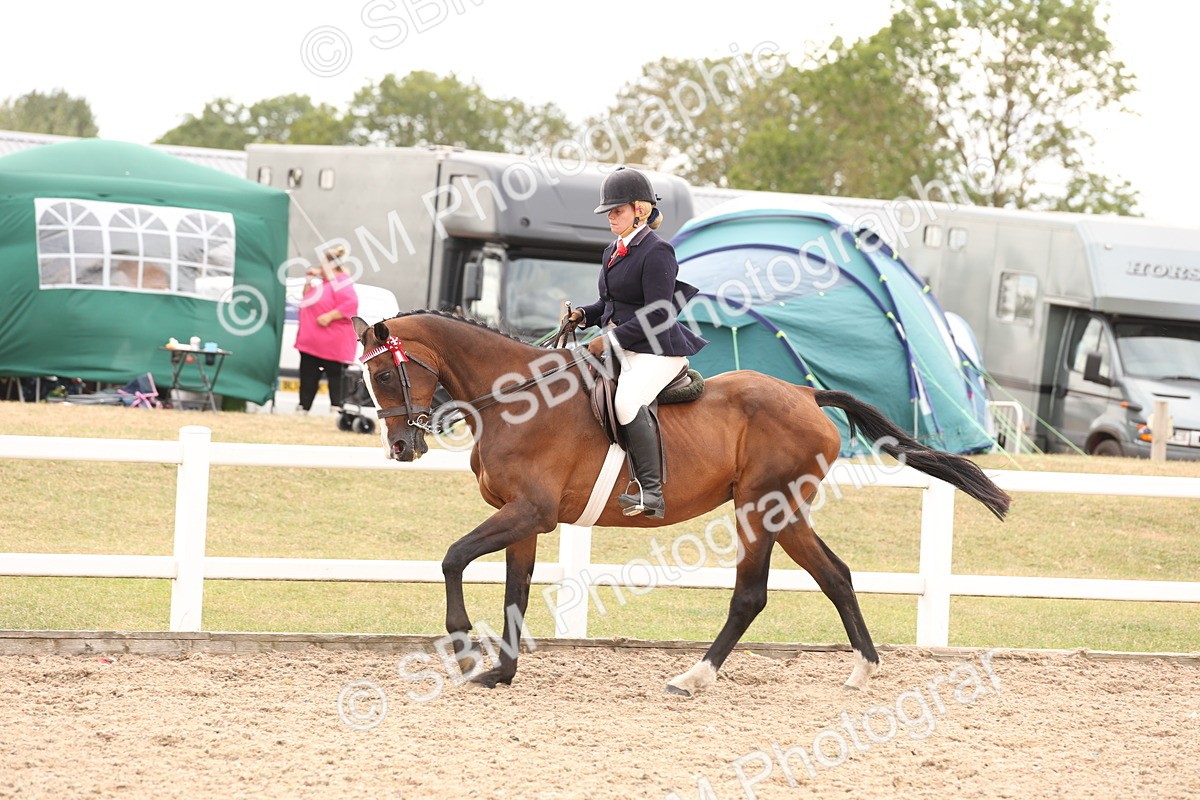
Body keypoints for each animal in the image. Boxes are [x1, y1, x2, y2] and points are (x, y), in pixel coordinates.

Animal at [352, 311, 1010, 696]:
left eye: (383, 376)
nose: (401, 447)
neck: (516, 397)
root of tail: (805, 394)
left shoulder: (529, 512)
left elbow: (452, 557)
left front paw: (464, 650)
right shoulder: (527, 520)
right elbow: (516, 592)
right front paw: (500, 672)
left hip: (759, 508)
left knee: (751, 595)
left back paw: (693, 676)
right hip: (786, 511)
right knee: (836, 576)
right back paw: (863, 669)